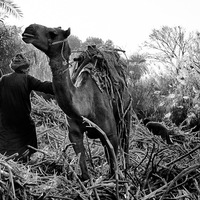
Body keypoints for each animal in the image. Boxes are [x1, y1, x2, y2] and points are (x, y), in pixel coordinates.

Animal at [21, 23, 132, 181]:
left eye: (53, 33)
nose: (28, 29)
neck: (85, 107)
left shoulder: (111, 134)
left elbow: (113, 168)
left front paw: (116, 178)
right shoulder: (74, 133)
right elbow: (84, 171)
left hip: (126, 113)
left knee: (125, 143)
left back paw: (127, 170)